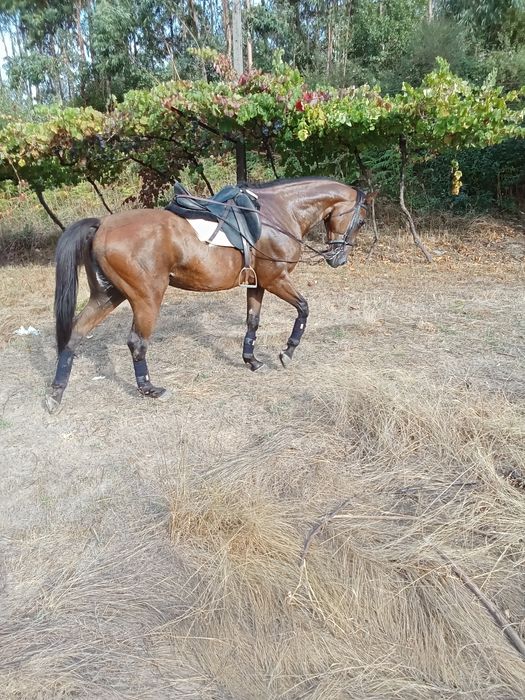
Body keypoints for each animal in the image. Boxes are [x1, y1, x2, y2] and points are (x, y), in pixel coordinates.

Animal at [46, 177, 372, 412]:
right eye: (361, 221)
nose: (339, 260)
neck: (279, 212)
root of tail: (102, 226)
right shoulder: (276, 279)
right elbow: (304, 309)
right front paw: (287, 352)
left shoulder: (257, 284)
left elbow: (252, 322)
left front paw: (251, 360)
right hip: (146, 298)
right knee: (137, 342)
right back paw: (149, 389)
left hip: (108, 295)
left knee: (75, 334)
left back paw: (55, 395)